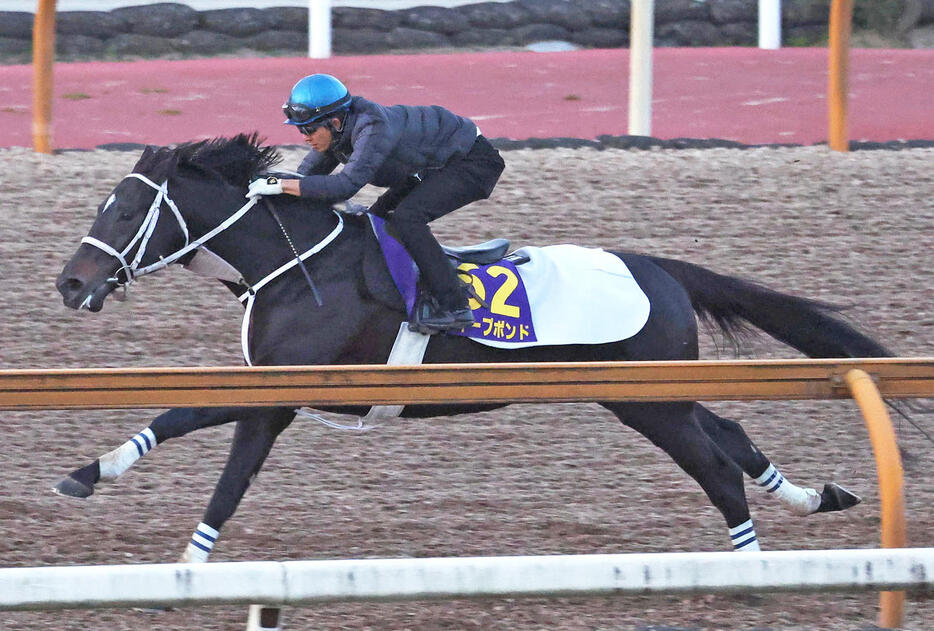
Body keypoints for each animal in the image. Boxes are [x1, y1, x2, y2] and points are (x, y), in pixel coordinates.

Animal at [54, 135, 880, 564]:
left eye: (124, 210)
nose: (70, 282)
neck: (293, 264)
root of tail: (657, 267)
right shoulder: (271, 389)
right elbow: (194, 443)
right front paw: (100, 485)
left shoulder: (281, 392)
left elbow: (213, 460)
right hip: (649, 390)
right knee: (731, 434)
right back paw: (817, 496)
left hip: (647, 400)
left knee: (716, 468)